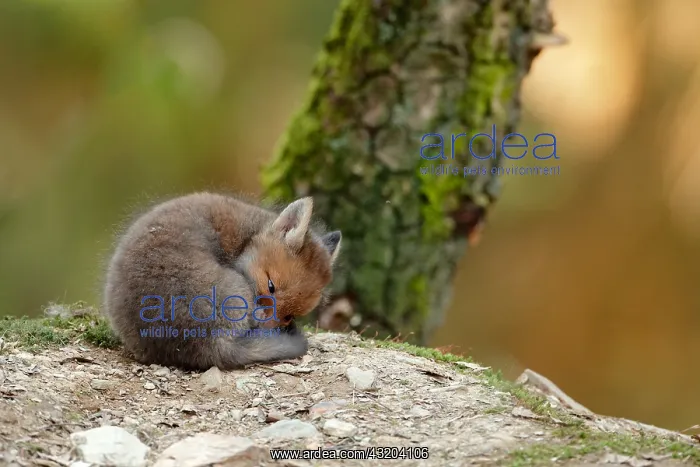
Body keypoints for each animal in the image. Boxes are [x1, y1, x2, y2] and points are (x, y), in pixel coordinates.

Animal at [102, 192, 341, 371]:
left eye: (289, 315)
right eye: (270, 286)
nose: (267, 329)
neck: (247, 235)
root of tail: (212, 348)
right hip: (237, 289)